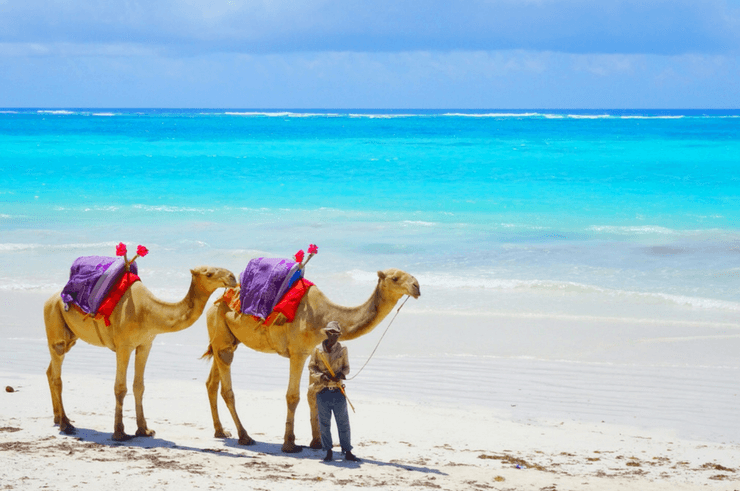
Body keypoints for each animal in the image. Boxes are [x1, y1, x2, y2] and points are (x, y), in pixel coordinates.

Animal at [42, 266, 237, 442]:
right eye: (209, 273)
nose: (233, 277)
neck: (148, 311)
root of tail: (49, 300)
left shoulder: (145, 344)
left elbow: (139, 386)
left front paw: (144, 430)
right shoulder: (124, 346)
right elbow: (120, 388)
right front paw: (119, 433)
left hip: (70, 337)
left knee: (50, 370)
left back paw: (58, 418)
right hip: (54, 321)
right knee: (57, 374)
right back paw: (66, 425)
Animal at [202, 270, 422, 454]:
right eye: (395, 278)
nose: (417, 286)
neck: (323, 315)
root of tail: (215, 302)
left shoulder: (311, 352)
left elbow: (312, 394)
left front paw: (317, 442)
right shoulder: (298, 353)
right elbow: (293, 396)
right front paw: (289, 444)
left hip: (227, 338)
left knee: (212, 382)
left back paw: (220, 431)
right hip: (220, 331)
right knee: (227, 388)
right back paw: (244, 436)